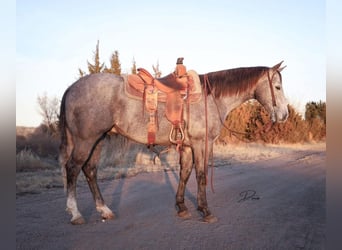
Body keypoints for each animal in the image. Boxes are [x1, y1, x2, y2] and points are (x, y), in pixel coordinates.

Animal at [59, 60, 288, 225]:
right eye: (277, 87)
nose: (284, 115)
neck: (211, 97)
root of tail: (70, 88)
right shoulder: (201, 144)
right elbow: (201, 175)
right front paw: (205, 211)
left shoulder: (186, 147)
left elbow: (184, 174)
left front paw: (182, 208)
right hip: (85, 141)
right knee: (73, 168)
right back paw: (76, 214)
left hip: (98, 139)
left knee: (89, 170)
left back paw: (105, 211)